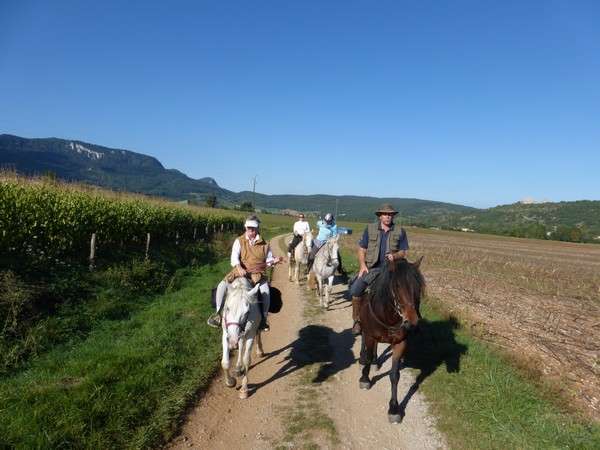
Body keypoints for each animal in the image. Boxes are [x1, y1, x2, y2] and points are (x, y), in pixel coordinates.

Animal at [358, 258, 424, 424]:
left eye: (418, 287)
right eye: (397, 285)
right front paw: (365, 379)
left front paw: (394, 408)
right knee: (363, 340)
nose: (412, 322)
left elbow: (395, 375)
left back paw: (376, 361)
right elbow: (368, 355)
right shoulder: (370, 335)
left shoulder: (400, 343)